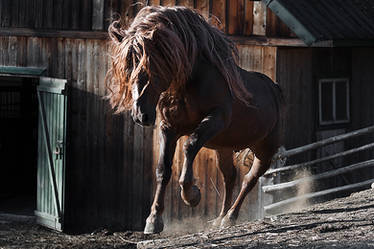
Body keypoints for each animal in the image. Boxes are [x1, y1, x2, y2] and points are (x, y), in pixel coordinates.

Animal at [105, 5, 284, 234]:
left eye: (151, 66)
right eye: (127, 68)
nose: (140, 116)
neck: (189, 84)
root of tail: (275, 89)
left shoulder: (215, 119)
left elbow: (190, 146)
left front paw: (192, 195)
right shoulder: (168, 128)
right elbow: (163, 169)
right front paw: (154, 220)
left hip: (265, 151)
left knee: (248, 180)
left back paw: (230, 217)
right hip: (224, 149)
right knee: (230, 178)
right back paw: (220, 217)